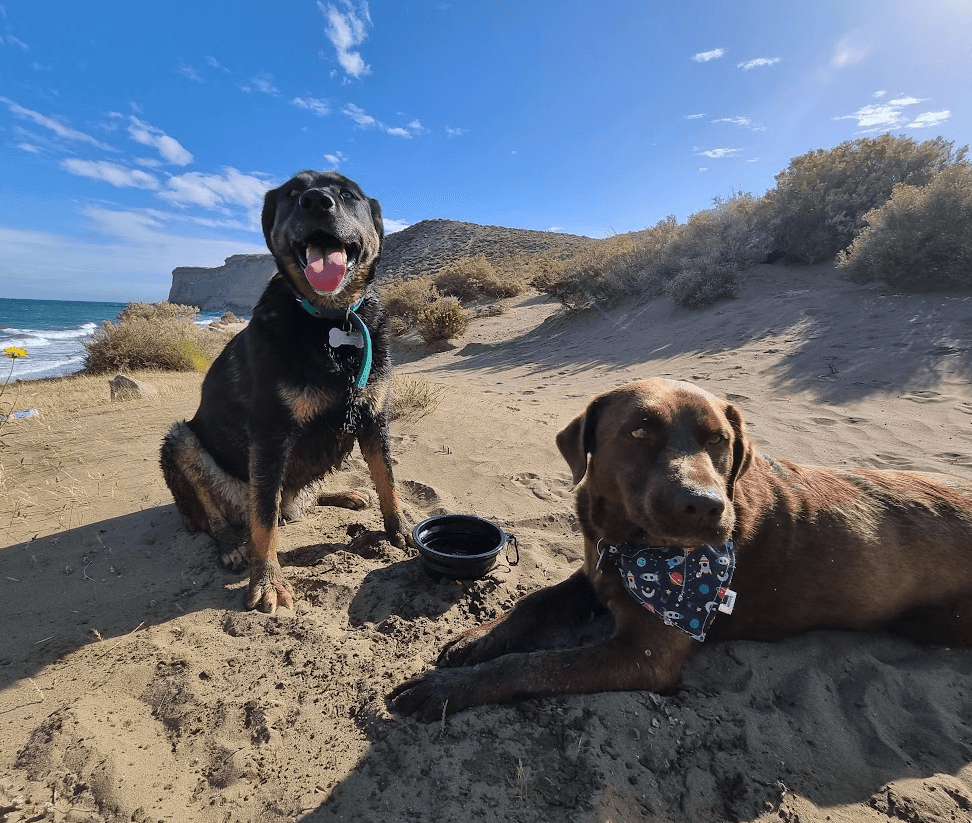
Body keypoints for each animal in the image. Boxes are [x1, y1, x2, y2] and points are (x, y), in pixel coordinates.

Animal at [162, 171, 410, 616]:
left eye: (348, 195)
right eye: (293, 194)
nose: (316, 202)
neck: (330, 320)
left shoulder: (373, 416)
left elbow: (389, 479)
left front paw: (399, 530)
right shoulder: (270, 434)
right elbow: (263, 519)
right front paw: (266, 581)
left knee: (300, 498)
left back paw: (346, 493)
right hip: (182, 442)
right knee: (220, 515)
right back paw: (230, 545)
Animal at [392, 376, 972, 716]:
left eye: (719, 439)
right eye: (640, 431)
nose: (705, 507)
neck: (631, 547)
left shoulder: (645, 654)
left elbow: (533, 665)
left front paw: (448, 689)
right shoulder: (595, 571)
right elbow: (537, 599)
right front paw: (478, 638)